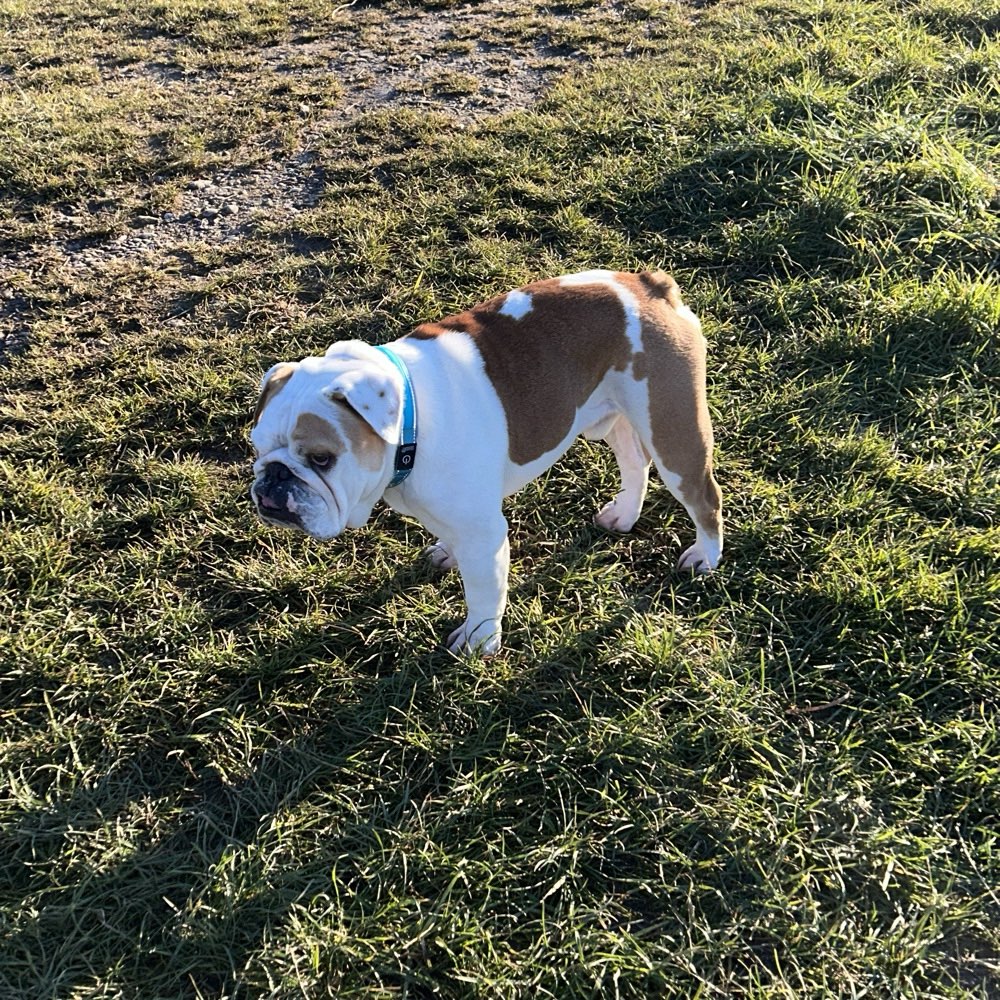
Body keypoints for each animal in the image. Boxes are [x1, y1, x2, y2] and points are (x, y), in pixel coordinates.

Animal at [248, 268, 720, 656]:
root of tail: (648, 285)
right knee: (633, 460)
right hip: (610, 417)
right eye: (256, 448)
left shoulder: (483, 532)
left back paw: (705, 557)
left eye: (322, 459)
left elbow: (482, 588)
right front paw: (446, 553)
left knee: (703, 496)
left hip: (673, 429)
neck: (411, 420)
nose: (274, 478)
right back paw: (624, 515)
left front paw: (479, 640)